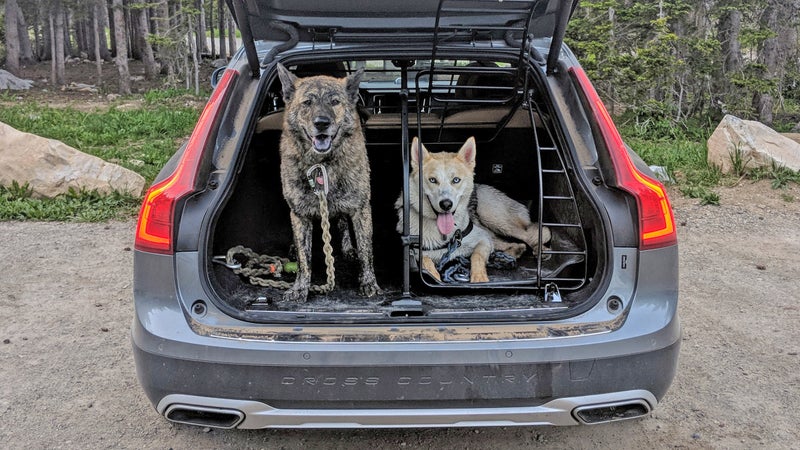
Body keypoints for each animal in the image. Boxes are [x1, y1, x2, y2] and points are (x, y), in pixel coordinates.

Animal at [276, 63, 380, 300]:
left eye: (335, 102)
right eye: (307, 102)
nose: (322, 123)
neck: (321, 163)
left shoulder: (361, 209)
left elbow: (366, 251)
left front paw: (368, 281)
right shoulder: (299, 214)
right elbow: (304, 260)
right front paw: (300, 287)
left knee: (342, 223)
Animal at [398, 136, 552, 282]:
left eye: (456, 180)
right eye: (432, 180)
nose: (446, 204)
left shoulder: (482, 239)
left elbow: (476, 257)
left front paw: (479, 278)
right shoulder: (418, 253)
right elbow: (426, 262)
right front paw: (434, 276)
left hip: (493, 218)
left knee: (530, 235)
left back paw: (540, 250)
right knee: (512, 244)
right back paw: (506, 255)